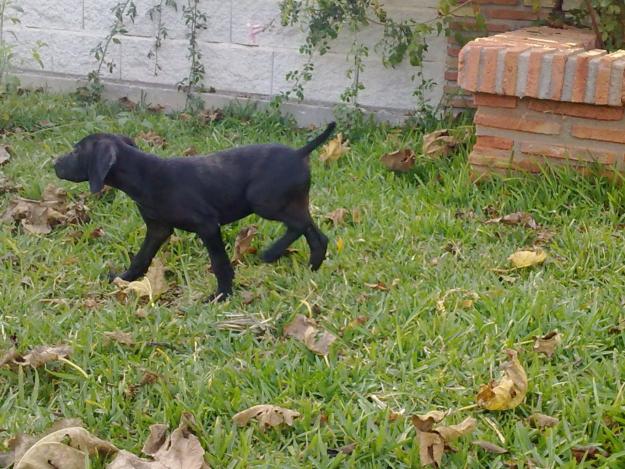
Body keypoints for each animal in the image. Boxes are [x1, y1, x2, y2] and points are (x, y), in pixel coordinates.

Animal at [54, 123, 336, 300]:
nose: (55, 164)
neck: (145, 175)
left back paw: (271, 253)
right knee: (316, 234)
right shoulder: (158, 229)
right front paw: (123, 279)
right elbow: (141, 258)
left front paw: (222, 295)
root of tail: (300, 153)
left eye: (76, 151)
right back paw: (312, 268)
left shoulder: (207, 226)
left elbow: (220, 263)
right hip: (292, 203)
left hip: (264, 201)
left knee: (299, 226)